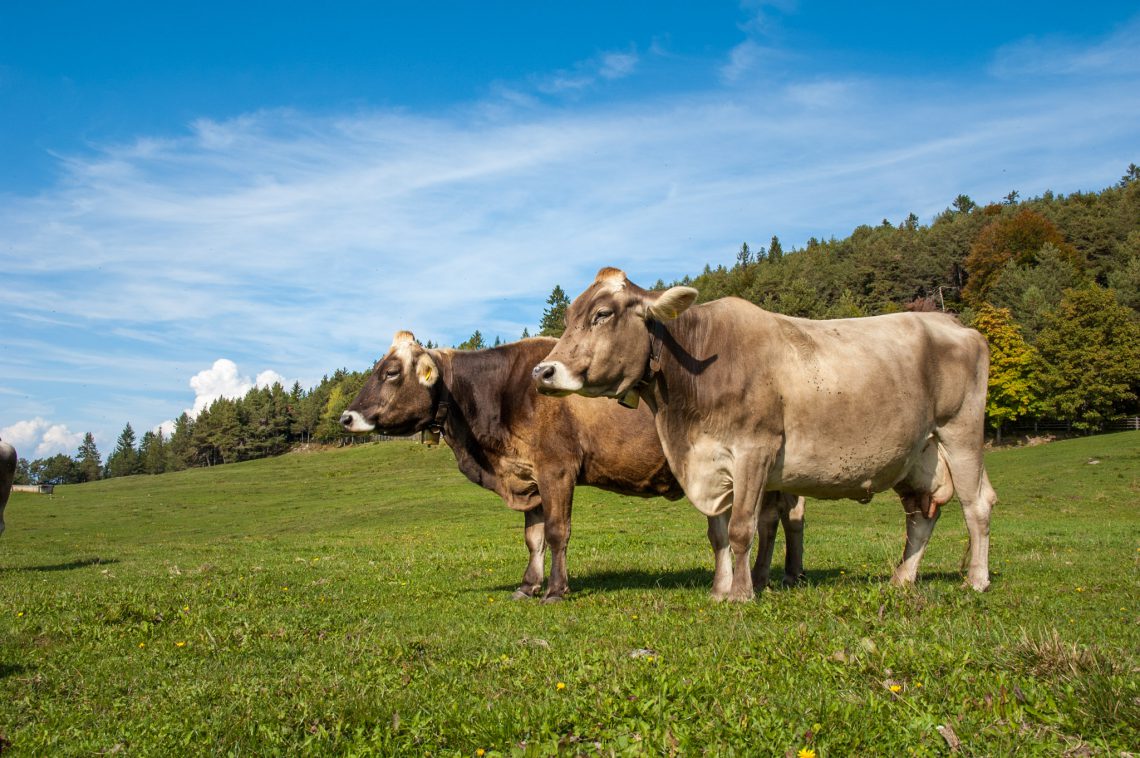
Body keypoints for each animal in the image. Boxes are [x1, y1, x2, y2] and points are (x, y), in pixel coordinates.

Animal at [342, 335, 807, 601]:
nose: (346, 417)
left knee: (776, 519)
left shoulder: (557, 469)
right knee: (781, 518)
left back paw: (768, 579)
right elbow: (532, 537)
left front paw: (555, 590)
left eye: (390, 372)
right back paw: (780, 576)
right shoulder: (528, 475)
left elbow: (555, 532)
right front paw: (527, 585)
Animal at [533, 269, 998, 601]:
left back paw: (976, 580)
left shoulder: (754, 449)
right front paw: (719, 590)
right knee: (922, 513)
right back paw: (902, 578)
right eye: (570, 316)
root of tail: (951, 321)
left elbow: (742, 528)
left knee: (976, 504)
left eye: (602, 314)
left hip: (960, 433)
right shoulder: (709, 458)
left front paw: (741, 594)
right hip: (916, 454)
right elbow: (718, 533)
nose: (543, 371)